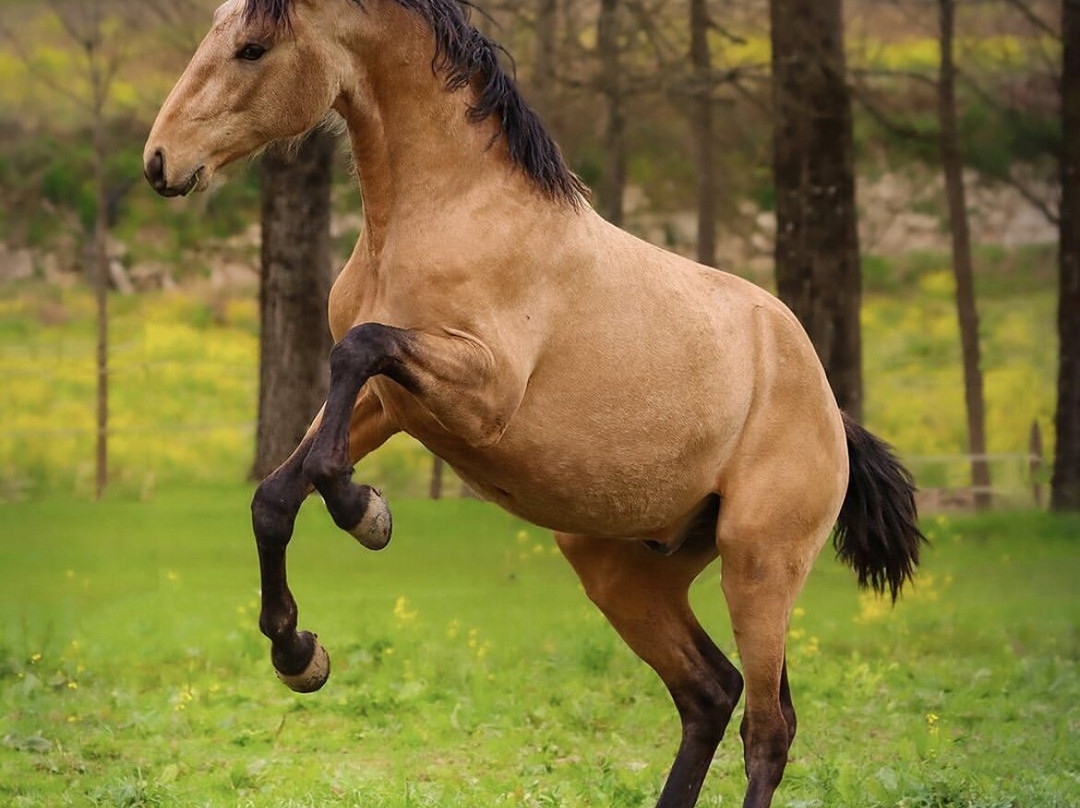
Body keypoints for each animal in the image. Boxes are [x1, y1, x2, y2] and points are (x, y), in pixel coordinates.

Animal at [143, 2, 924, 806]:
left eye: (252, 48)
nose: (160, 162)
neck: (453, 211)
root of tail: (829, 410)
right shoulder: (387, 408)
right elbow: (275, 497)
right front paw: (300, 654)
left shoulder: (480, 394)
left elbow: (355, 352)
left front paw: (366, 516)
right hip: (622, 571)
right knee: (709, 692)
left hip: (760, 566)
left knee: (768, 729)